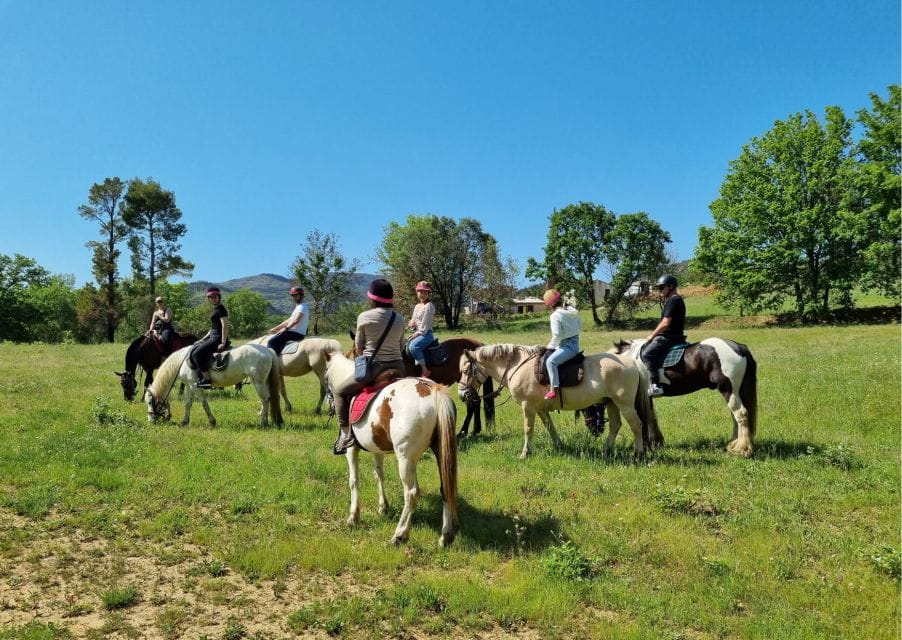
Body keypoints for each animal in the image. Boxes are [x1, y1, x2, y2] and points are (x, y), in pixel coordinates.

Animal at [144, 344, 283, 428]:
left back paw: (263, 422)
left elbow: (204, 403)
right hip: (263, 382)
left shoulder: (195, 386)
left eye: (150, 402)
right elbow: (188, 404)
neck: (181, 362)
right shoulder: (190, 386)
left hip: (258, 382)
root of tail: (267, 350)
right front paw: (185, 421)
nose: (150, 420)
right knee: (268, 398)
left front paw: (212, 421)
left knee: (265, 399)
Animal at [323, 351, 459, 546]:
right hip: (441, 453)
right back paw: (445, 536)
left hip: (405, 458)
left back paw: (400, 534)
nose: (328, 403)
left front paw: (353, 517)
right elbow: (379, 475)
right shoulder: (376, 448)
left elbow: (354, 480)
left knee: (411, 493)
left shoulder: (351, 449)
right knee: (445, 489)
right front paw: (383, 507)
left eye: (325, 378)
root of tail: (433, 390)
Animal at [458, 344, 651, 459]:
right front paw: (559, 446)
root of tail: (633, 363)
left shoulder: (528, 406)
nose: (462, 394)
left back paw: (638, 453)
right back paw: (606, 450)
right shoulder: (540, 408)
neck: (517, 366)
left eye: (466, 371)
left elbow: (528, 429)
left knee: (637, 425)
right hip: (611, 403)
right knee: (615, 425)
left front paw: (525, 453)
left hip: (625, 405)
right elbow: (550, 426)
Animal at [610, 338, 757, 457]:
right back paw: (734, 444)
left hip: (729, 390)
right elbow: (652, 417)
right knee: (736, 417)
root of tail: (739, 347)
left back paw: (742, 449)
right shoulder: (648, 397)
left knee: (741, 414)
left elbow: (645, 419)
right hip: (735, 392)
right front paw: (657, 442)